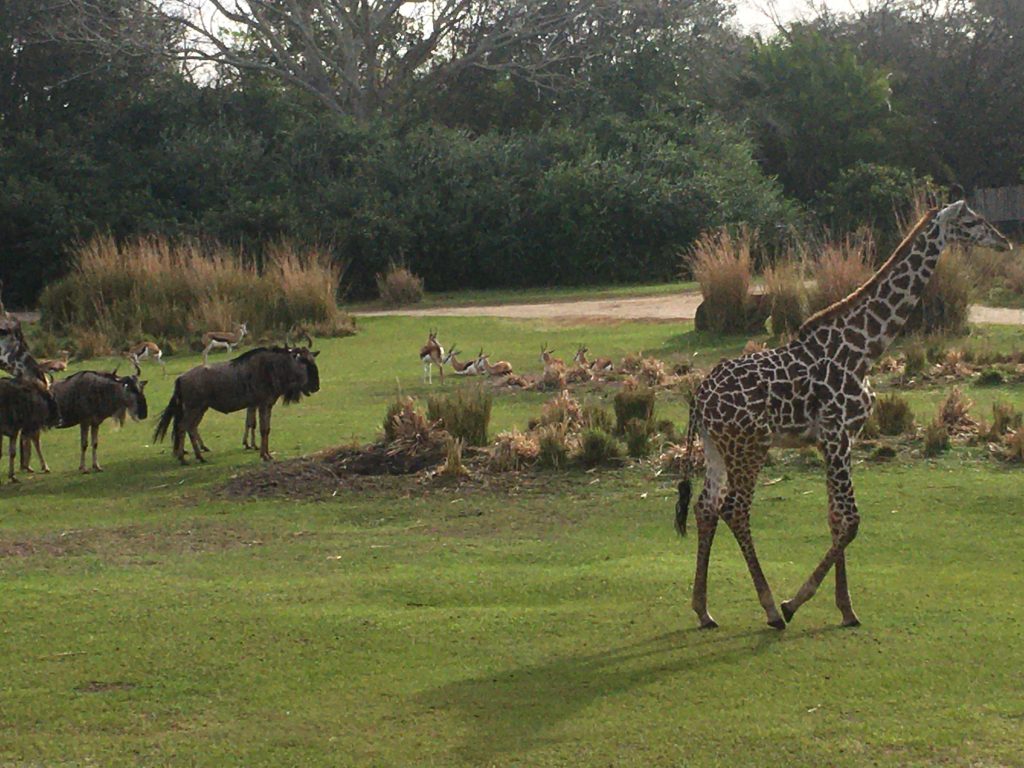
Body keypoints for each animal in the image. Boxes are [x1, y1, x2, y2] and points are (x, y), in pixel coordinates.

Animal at [675, 201, 1011, 626]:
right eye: (970, 221)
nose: (1004, 241)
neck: (862, 351)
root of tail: (699, 399)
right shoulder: (837, 435)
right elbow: (851, 520)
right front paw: (795, 602)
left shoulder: (838, 438)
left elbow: (836, 518)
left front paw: (846, 608)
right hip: (750, 445)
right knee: (735, 509)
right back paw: (770, 609)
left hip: (717, 447)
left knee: (706, 507)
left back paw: (703, 610)